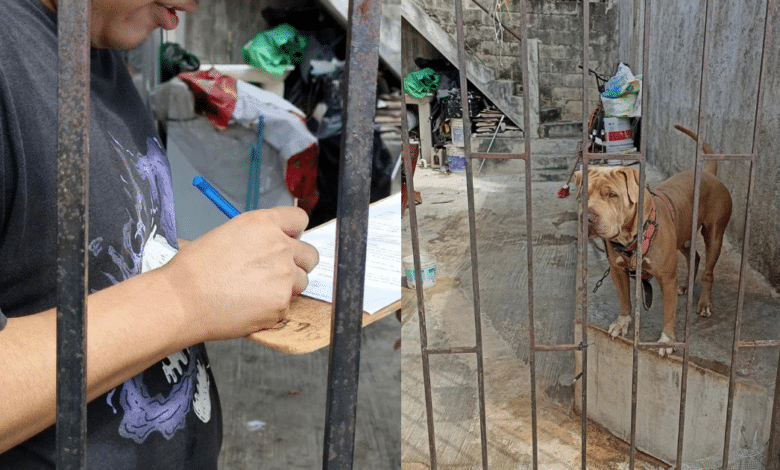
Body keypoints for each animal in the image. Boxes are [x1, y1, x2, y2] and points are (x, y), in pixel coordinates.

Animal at [572, 125, 732, 356]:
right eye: (584, 194)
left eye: (612, 195)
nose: (588, 217)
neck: (630, 237)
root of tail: (708, 173)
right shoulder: (617, 271)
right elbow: (624, 299)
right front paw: (622, 322)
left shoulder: (666, 277)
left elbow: (669, 312)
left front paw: (666, 340)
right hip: (683, 236)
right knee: (695, 258)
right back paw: (686, 286)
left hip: (715, 235)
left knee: (708, 270)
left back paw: (704, 304)